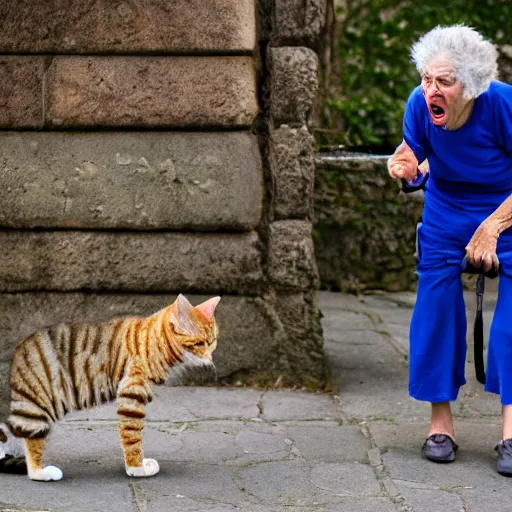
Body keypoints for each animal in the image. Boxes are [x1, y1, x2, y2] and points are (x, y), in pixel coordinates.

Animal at [0, 294, 218, 482]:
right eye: (200, 343)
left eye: (213, 342)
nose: (210, 358)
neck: (156, 341)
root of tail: (18, 352)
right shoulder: (131, 396)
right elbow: (132, 437)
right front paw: (136, 468)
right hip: (40, 405)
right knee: (31, 445)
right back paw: (41, 472)